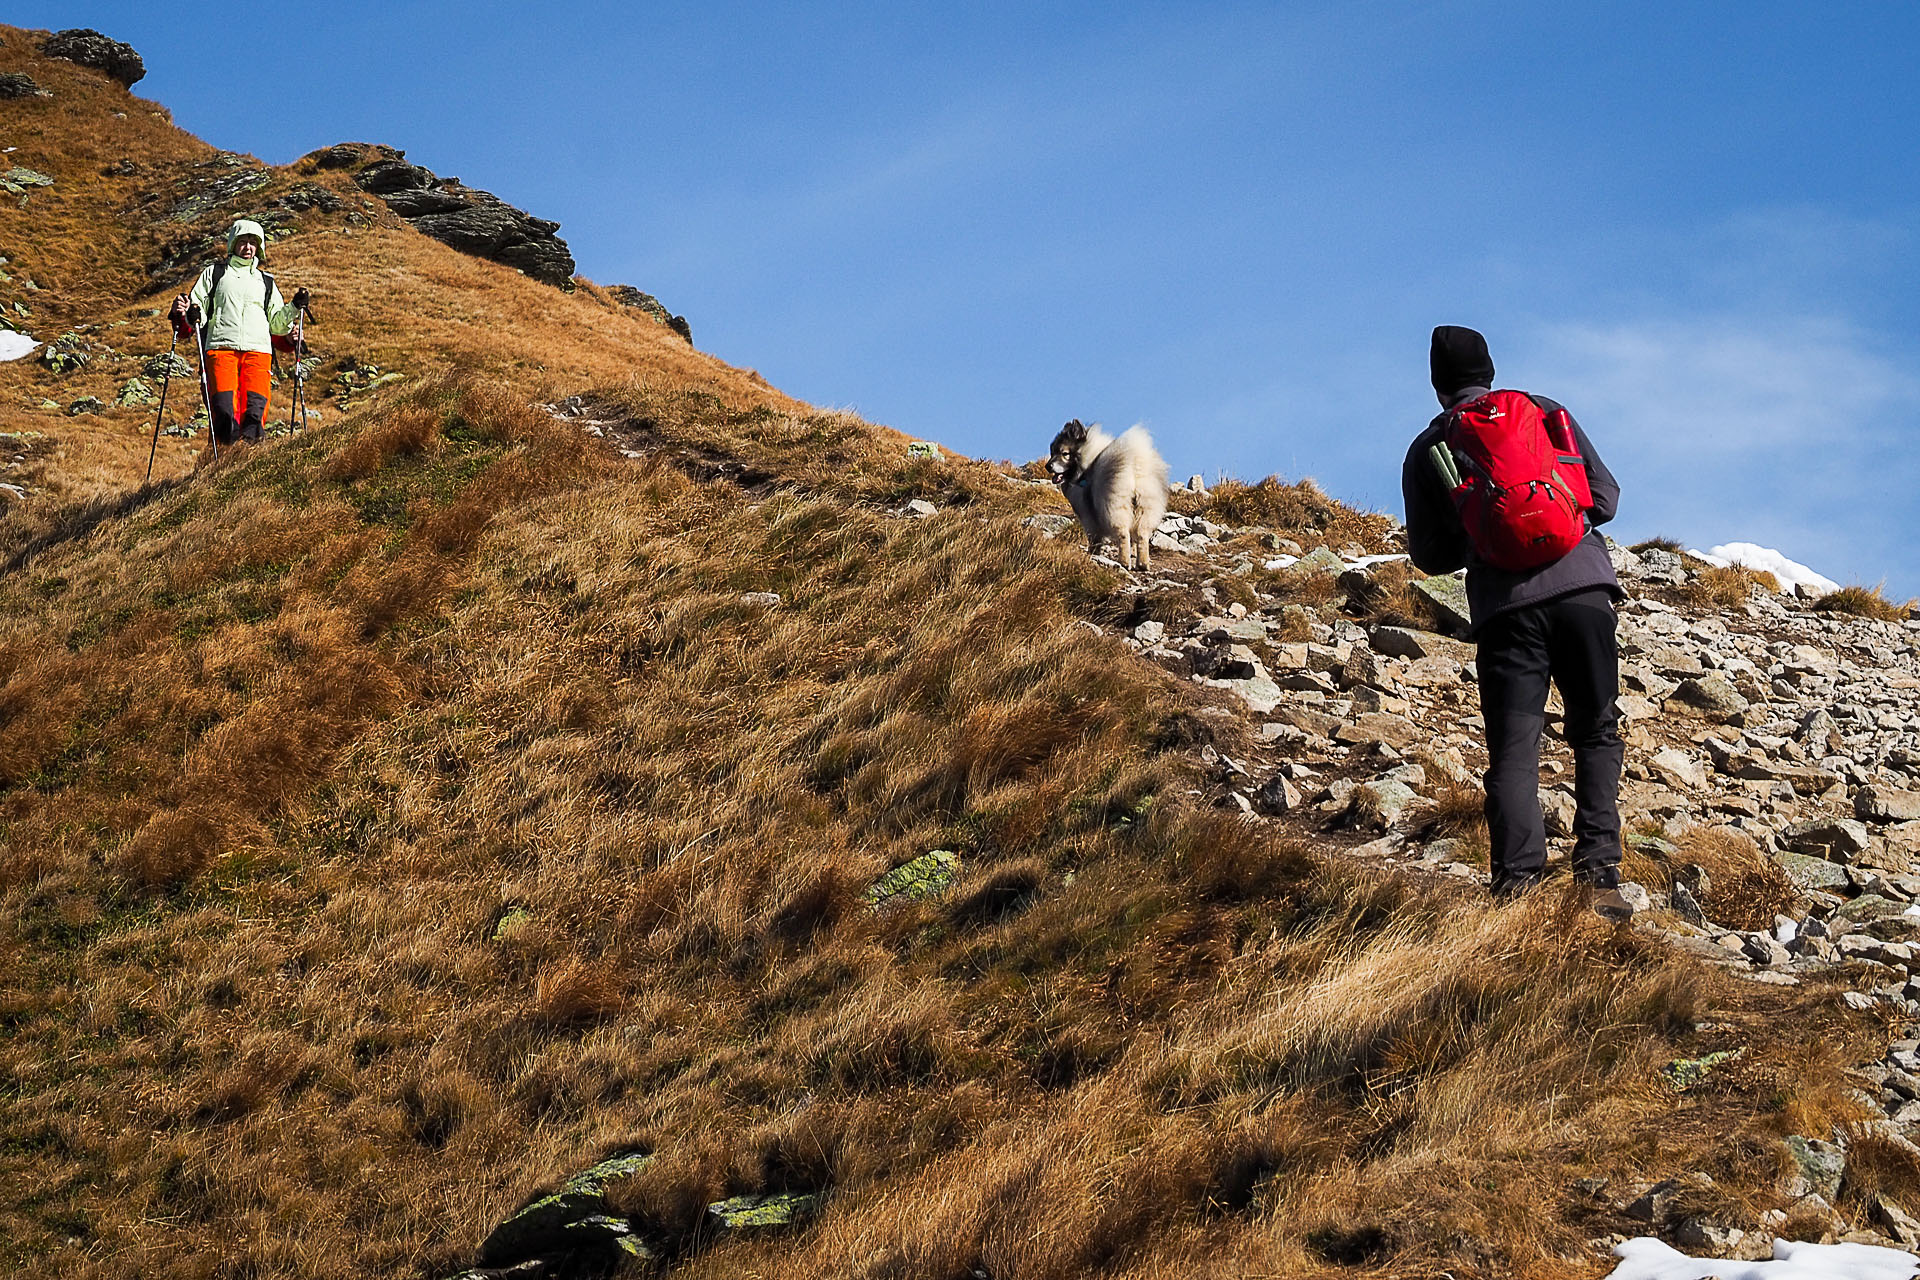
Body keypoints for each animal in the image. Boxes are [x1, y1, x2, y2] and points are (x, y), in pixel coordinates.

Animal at [1052, 420, 1167, 571]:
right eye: (1052, 452)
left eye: (1064, 453)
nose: (1048, 466)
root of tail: (1134, 465)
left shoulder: (1088, 518)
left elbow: (1094, 540)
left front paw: (1092, 554)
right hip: (1145, 508)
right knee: (1142, 535)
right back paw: (1142, 564)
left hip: (1115, 508)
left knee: (1123, 535)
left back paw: (1123, 562)